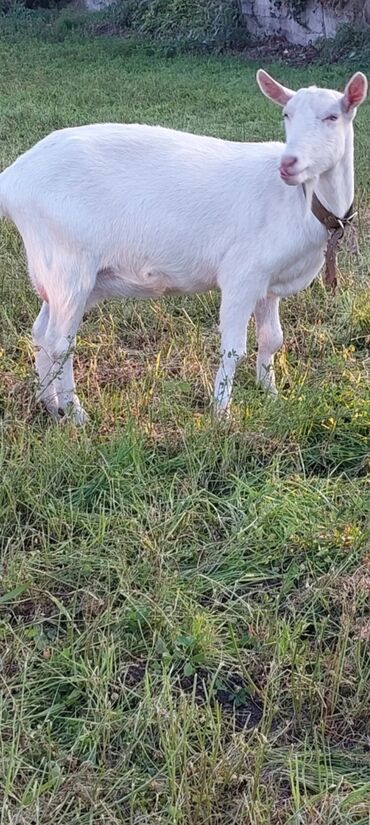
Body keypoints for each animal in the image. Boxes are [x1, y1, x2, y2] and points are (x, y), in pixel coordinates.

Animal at [0, 69, 366, 424]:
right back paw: (76, 414)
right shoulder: (242, 273)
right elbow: (233, 348)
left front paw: (271, 396)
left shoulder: (270, 283)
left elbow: (272, 339)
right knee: (60, 342)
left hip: (60, 272)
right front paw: (222, 416)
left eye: (332, 116)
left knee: (41, 333)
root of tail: (13, 178)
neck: (301, 203)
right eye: (286, 114)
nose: (288, 163)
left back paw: (50, 405)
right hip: (68, 262)